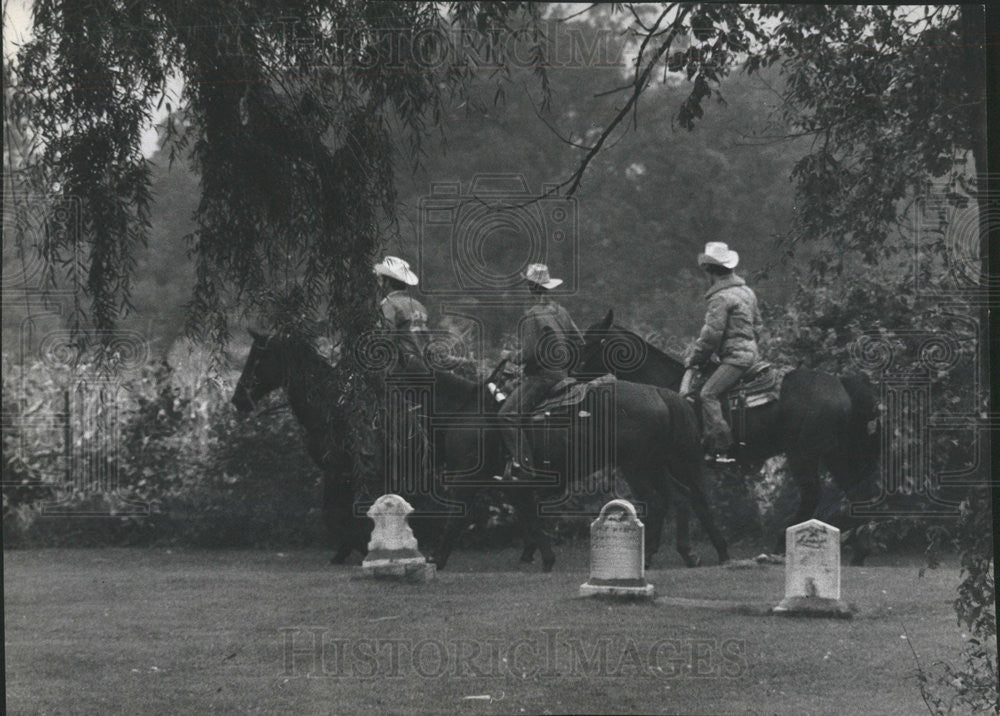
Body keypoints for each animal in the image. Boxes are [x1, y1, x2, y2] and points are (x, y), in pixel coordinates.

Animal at [576, 310, 880, 564]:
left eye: (588, 342)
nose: (571, 373)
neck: (666, 390)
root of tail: (841, 383)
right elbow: (695, 501)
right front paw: (717, 552)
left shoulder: (681, 462)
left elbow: (693, 500)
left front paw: (703, 552)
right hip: (836, 454)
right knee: (858, 494)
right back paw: (860, 549)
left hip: (803, 454)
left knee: (813, 494)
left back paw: (779, 547)